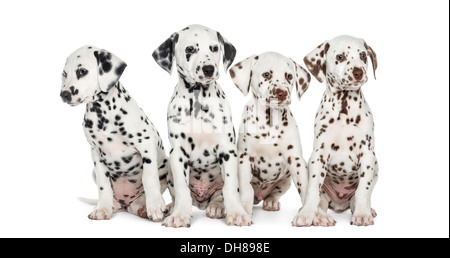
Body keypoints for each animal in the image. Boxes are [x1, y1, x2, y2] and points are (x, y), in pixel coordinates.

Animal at [60, 45, 170, 221]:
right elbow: (104, 185)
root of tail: (126, 203)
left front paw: (155, 207)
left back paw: (143, 208)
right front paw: (102, 209)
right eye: (64, 74)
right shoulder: (96, 154)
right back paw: (113, 205)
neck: (103, 115)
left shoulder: (146, 144)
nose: (64, 94)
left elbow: (149, 178)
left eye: (82, 71)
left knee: (138, 201)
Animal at [152, 23, 251, 226]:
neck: (198, 100)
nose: (208, 69)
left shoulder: (227, 151)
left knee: (220, 195)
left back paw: (217, 207)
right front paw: (180, 215)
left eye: (214, 48)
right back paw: (171, 208)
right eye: (190, 49)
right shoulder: (178, 153)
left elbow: (230, 187)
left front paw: (237, 213)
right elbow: (182, 190)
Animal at [292, 35, 380, 226]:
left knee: (358, 197)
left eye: (363, 55)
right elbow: (312, 189)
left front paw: (362, 214)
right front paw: (306, 214)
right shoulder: (319, 154)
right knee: (321, 201)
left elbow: (363, 190)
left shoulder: (367, 154)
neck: (344, 108)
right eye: (340, 57)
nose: (358, 72)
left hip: (376, 167)